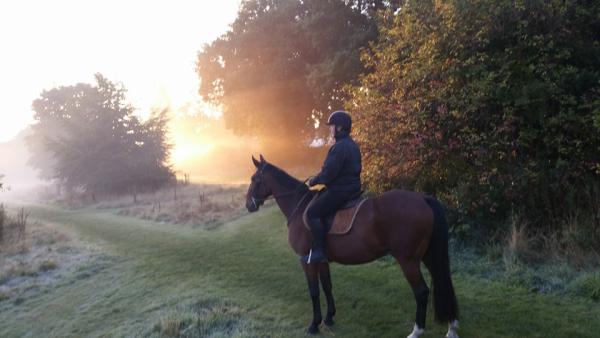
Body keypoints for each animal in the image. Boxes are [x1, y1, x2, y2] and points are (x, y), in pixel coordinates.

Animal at [244, 154, 460, 336]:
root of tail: (423, 198)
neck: (299, 207)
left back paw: (417, 331)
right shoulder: (321, 260)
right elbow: (327, 286)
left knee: (422, 292)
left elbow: (314, 291)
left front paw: (314, 325)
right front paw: (329, 318)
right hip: (428, 255)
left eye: (254, 179)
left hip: (408, 260)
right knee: (443, 282)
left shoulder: (306, 260)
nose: (248, 205)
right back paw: (452, 328)